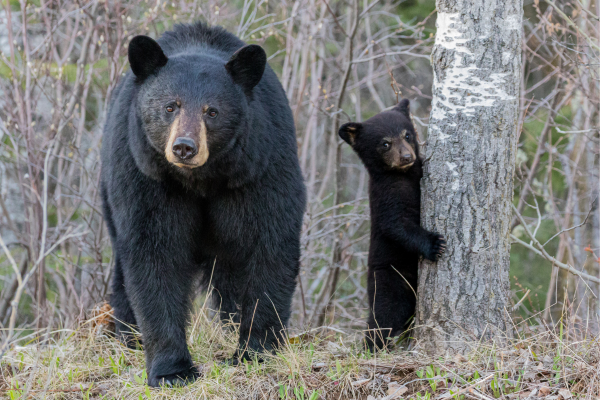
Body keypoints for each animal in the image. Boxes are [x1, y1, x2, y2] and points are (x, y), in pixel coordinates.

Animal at [100, 22, 304, 388]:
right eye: (171, 106)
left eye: (212, 111)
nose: (184, 147)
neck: (201, 179)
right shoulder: (146, 176)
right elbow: (155, 253)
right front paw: (172, 370)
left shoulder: (260, 167)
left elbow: (270, 243)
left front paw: (256, 351)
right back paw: (126, 335)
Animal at [338, 99, 446, 350]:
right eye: (385, 143)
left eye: (407, 134)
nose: (406, 156)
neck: (403, 175)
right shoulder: (386, 195)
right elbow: (396, 225)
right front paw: (435, 244)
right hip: (390, 280)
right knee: (384, 316)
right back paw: (372, 347)